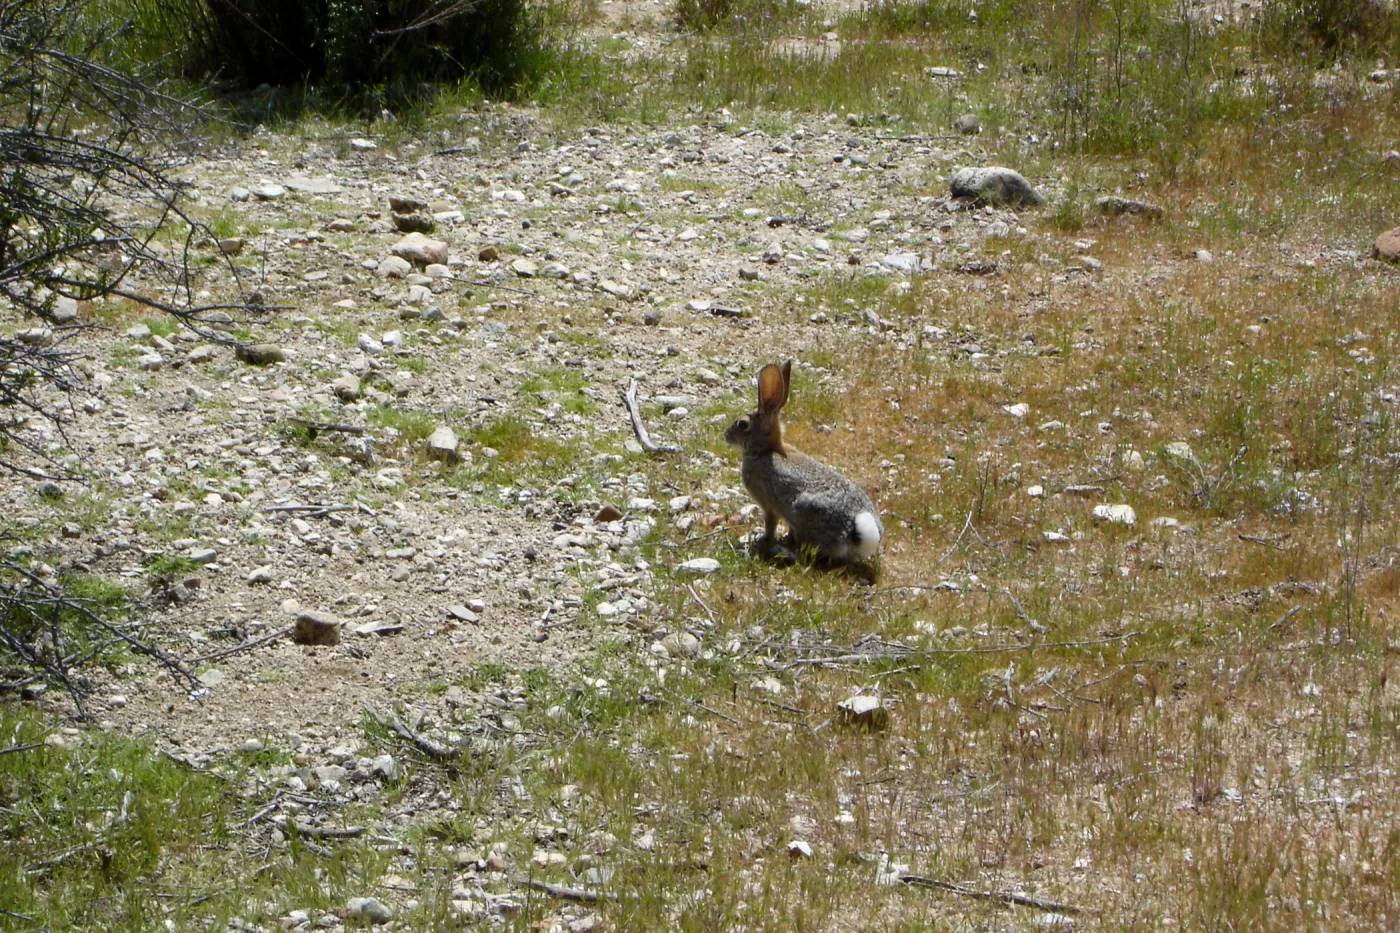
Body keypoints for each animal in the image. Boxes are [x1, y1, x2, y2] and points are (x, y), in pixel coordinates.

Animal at [724, 361, 883, 571]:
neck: (765, 451)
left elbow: (770, 524)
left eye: (742, 424)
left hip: (800, 512)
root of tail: (855, 530)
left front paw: (764, 540)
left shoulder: (769, 506)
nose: (726, 435)